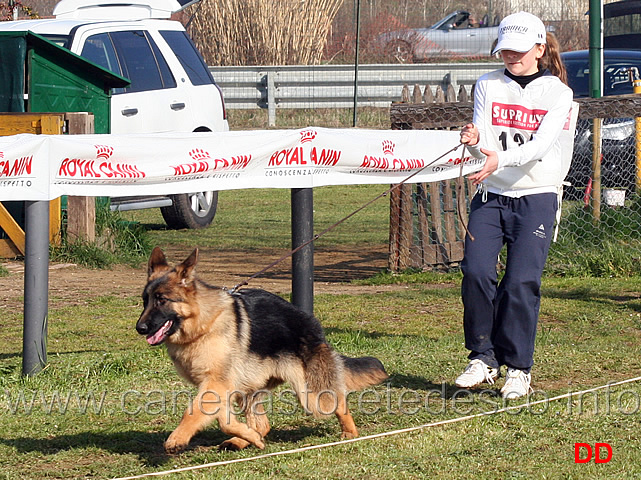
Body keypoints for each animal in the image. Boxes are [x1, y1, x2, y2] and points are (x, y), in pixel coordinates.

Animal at [136, 248, 388, 454]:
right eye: (145, 300)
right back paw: (246, 440)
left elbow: (195, 413)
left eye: (161, 300)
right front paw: (249, 437)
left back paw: (350, 433)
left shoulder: (215, 385)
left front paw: (177, 438)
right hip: (248, 389)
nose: (140, 328)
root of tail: (312, 324)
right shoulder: (220, 388)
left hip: (311, 396)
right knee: (262, 424)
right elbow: (225, 422)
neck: (204, 324)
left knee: (338, 401)